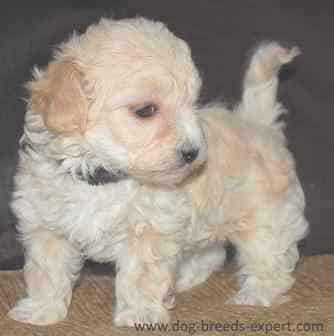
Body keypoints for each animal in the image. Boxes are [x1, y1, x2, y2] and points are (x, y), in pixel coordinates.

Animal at [7, 17, 310, 326]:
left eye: (192, 105)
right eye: (146, 110)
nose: (194, 152)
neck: (104, 176)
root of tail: (257, 122)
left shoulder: (150, 231)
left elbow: (141, 276)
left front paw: (140, 313)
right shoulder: (46, 226)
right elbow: (47, 271)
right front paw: (41, 309)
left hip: (266, 218)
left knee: (269, 257)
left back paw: (257, 293)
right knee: (211, 252)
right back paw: (186, 278)